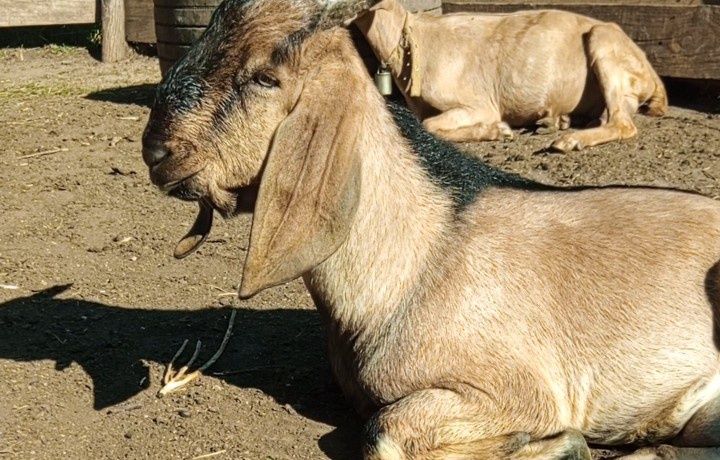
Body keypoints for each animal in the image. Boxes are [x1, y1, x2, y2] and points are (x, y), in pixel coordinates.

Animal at [353, 0, 668, 152]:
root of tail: (653, 75)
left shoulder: (479, 103)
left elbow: (430, 125)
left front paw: (498, 131)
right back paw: (557, 122)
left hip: (603, 41)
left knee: (624, 124)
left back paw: (569, 140)